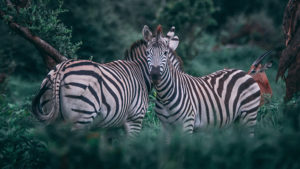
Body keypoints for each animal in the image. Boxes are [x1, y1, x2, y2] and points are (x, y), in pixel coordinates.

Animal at [32, 28, 183, 136]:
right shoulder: (135, 119)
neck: (140, 73)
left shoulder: (110, 125)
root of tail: (61, 69)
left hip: (52, 115)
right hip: (81, 117)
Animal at [141, 25, 270, 136]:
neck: (165, 96)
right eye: (147, 52)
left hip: (249, 115)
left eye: (165, 53)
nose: (155, 75)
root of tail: (243, 72)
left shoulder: (187, 123)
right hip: (236, 120)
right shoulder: (166, 127)